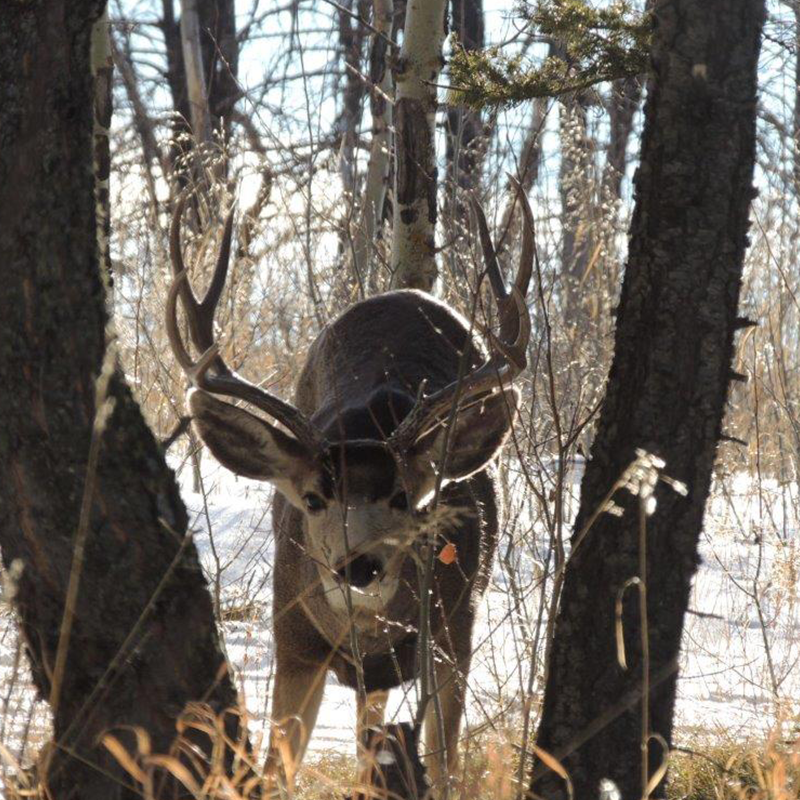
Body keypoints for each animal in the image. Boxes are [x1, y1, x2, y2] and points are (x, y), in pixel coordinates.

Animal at [165, 182, 533, 794]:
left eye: (406, 497)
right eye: (314, 498)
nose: (358, 566)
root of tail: (401, 291)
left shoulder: (455, 633)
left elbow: (446, 766)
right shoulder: (291, 638)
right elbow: (277, 772)